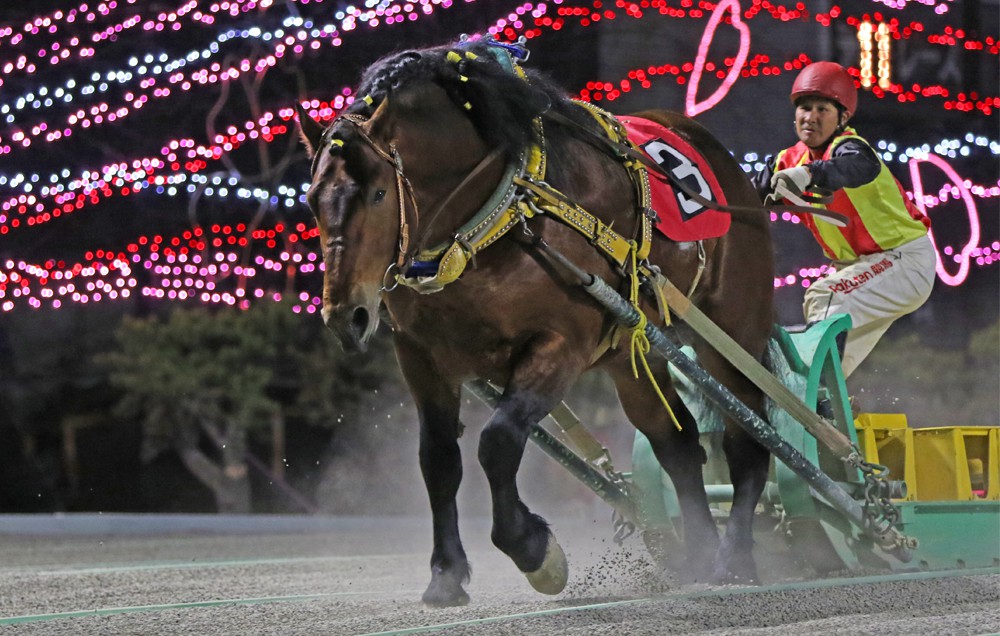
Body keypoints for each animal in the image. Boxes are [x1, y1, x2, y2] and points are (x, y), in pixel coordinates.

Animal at [296, 39, 772, 608]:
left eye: (377, 195)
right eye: (312, 200)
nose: (346, 315)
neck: (497, 217)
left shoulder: (559, 344)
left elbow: (498, 442)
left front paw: (533, 550)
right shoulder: (421, 355)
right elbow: (439, 460)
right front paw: (446, 573)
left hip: (734, 328)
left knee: (749, 438)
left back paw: (735, 558)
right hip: (630, 355)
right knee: (676, 443)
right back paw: (696, 550)